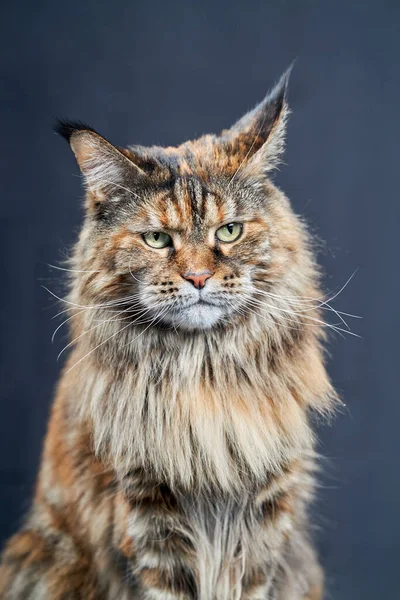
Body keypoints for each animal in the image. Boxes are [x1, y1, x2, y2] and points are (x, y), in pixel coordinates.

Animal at [0, 71, 340, 600]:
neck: (204, 375)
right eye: (157, 240)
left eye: (229, 231)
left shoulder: (266, 517)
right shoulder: (147, 515)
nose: (198, 277)